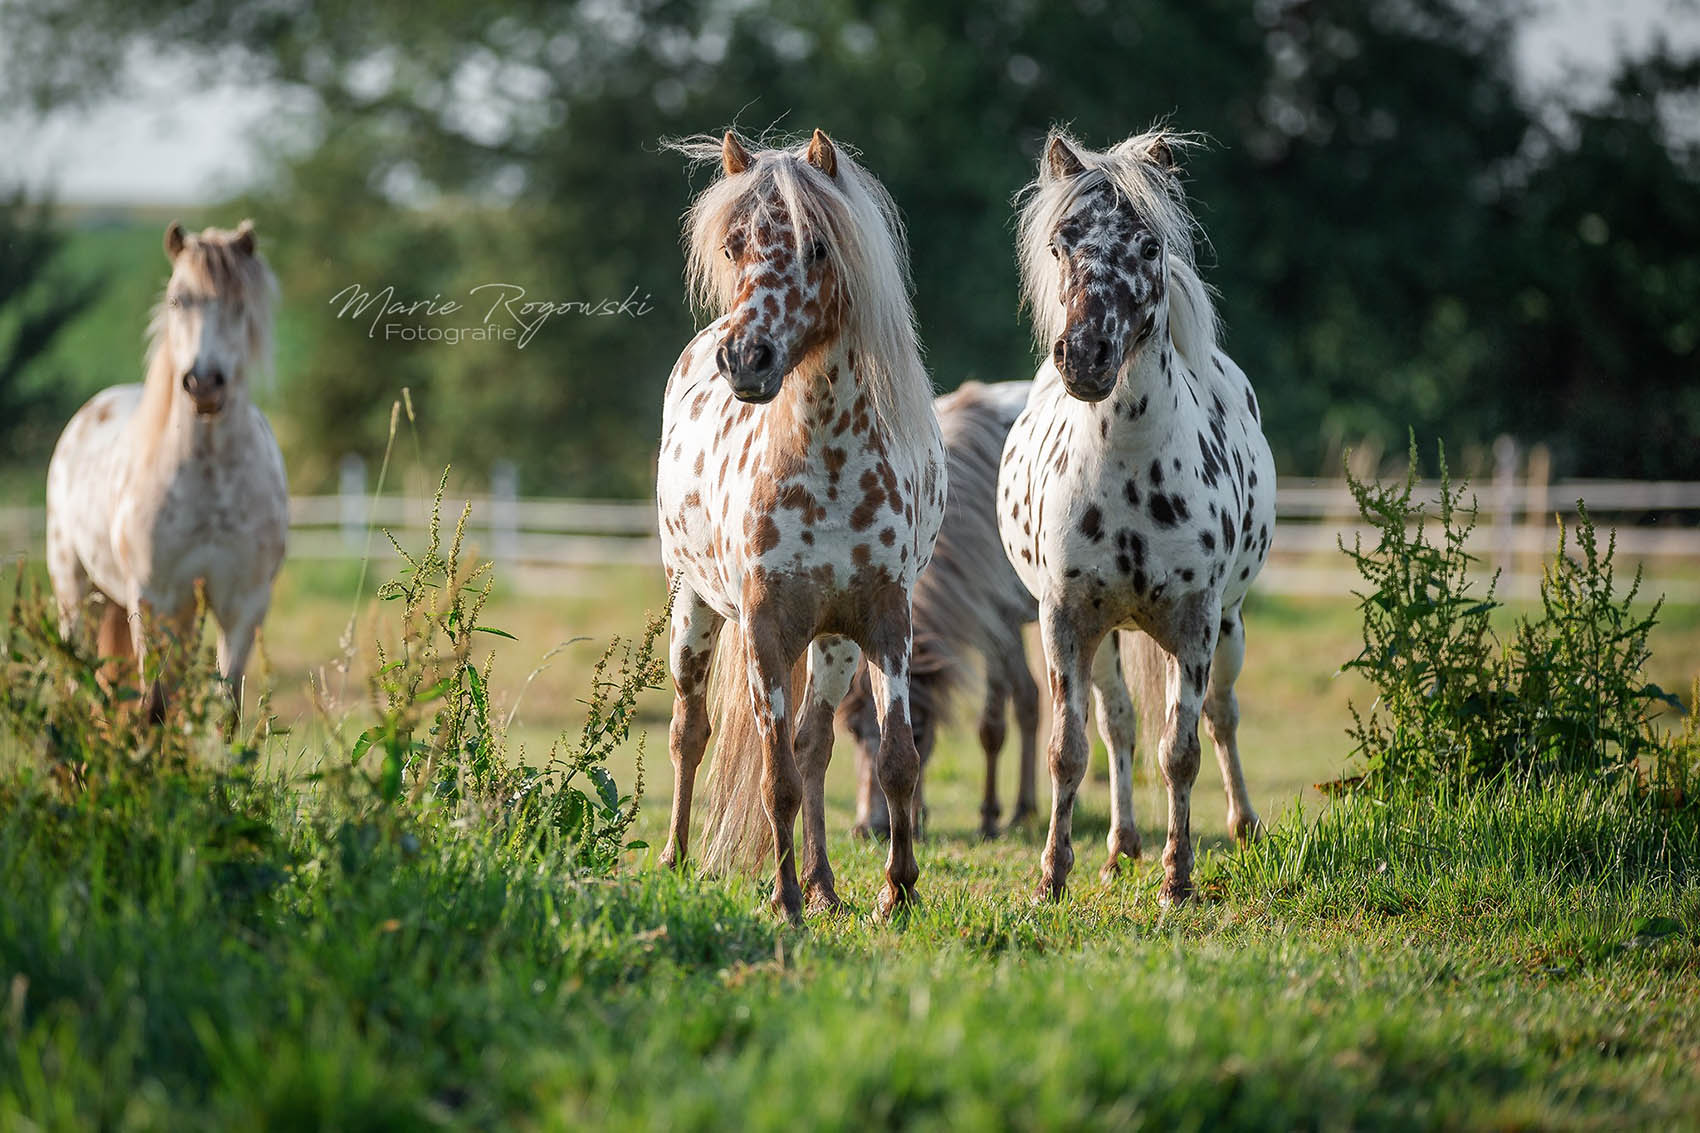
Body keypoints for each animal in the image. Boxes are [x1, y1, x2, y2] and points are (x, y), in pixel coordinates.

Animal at [46, 221, 287, 714]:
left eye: (239, 303)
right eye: (178, 300)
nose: (204, 384)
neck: (212, 480)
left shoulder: (243, 605)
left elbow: (225, 709)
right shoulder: (154, 600)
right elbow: (154, 705)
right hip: (76, 592)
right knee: (79, 684)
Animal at [652, 130, 952, 918]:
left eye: (818, 246)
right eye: (733, 246)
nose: (745, 358)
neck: (830, 464)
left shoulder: (884, 622)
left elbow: (895, 761)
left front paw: (897, 891)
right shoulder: (764, 627)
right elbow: (775, 777)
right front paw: (781, 899)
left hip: (833, 643)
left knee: (816, 748)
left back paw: (824, 883)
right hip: (691, 608)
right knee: (689, 731)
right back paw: (675, 857)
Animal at [836, 379, 1033, 836]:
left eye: (923, 734)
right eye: (852, 731)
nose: (872, 828)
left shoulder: (997, 621)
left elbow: (992, 726)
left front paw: (988, 817)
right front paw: (918, 814)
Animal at [992, 130, 1278, 898]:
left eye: (1150, 246)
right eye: (1060, 243)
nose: (1085, 356)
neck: (1129, 470)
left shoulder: (1195, 625)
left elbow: (1181, 750)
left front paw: (1178, 881)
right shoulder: (1064, 621)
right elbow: (1069, 750)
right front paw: (1052, 875)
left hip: (1229, 630)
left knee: (1223, 718)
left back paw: (1244, 826)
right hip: (1107, 639)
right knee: (1117, 725)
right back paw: (1121, 844)